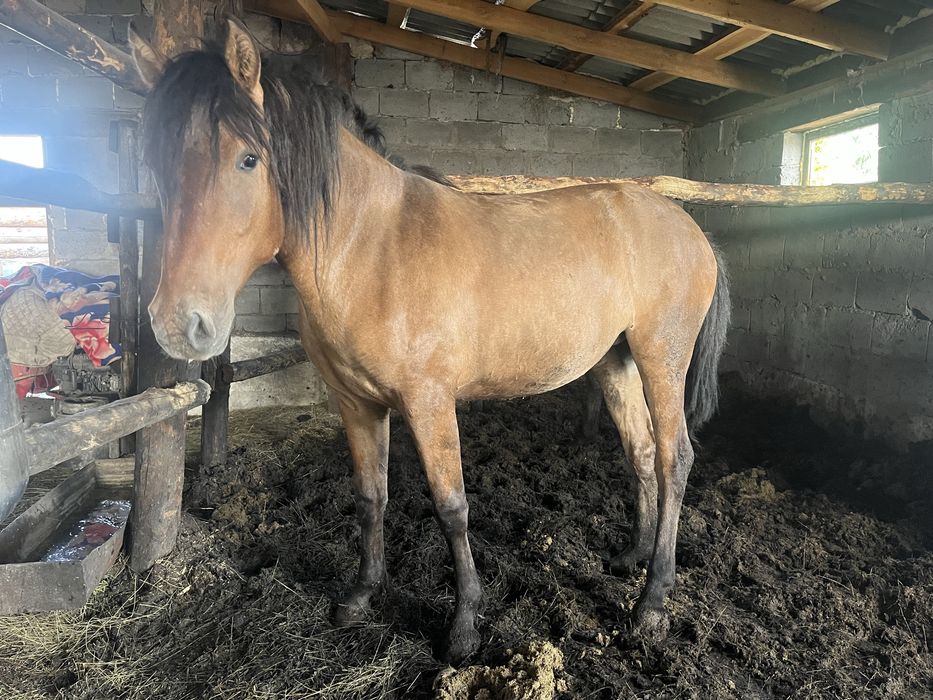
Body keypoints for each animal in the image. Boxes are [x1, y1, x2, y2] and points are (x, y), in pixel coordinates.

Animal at [129, 18, 730, 664]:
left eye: (248, 159)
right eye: (157, 163)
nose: (178, 323)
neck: (371, 249)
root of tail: (690, 227)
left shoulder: (429, 402)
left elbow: (451, 507)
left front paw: (464, 627)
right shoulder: (357, 404)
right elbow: (371, 497)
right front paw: (360, 596)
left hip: (661, 360)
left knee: (674, 459)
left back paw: (652, 602)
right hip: (616, 363)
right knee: (641, 453)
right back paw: (631, 557)